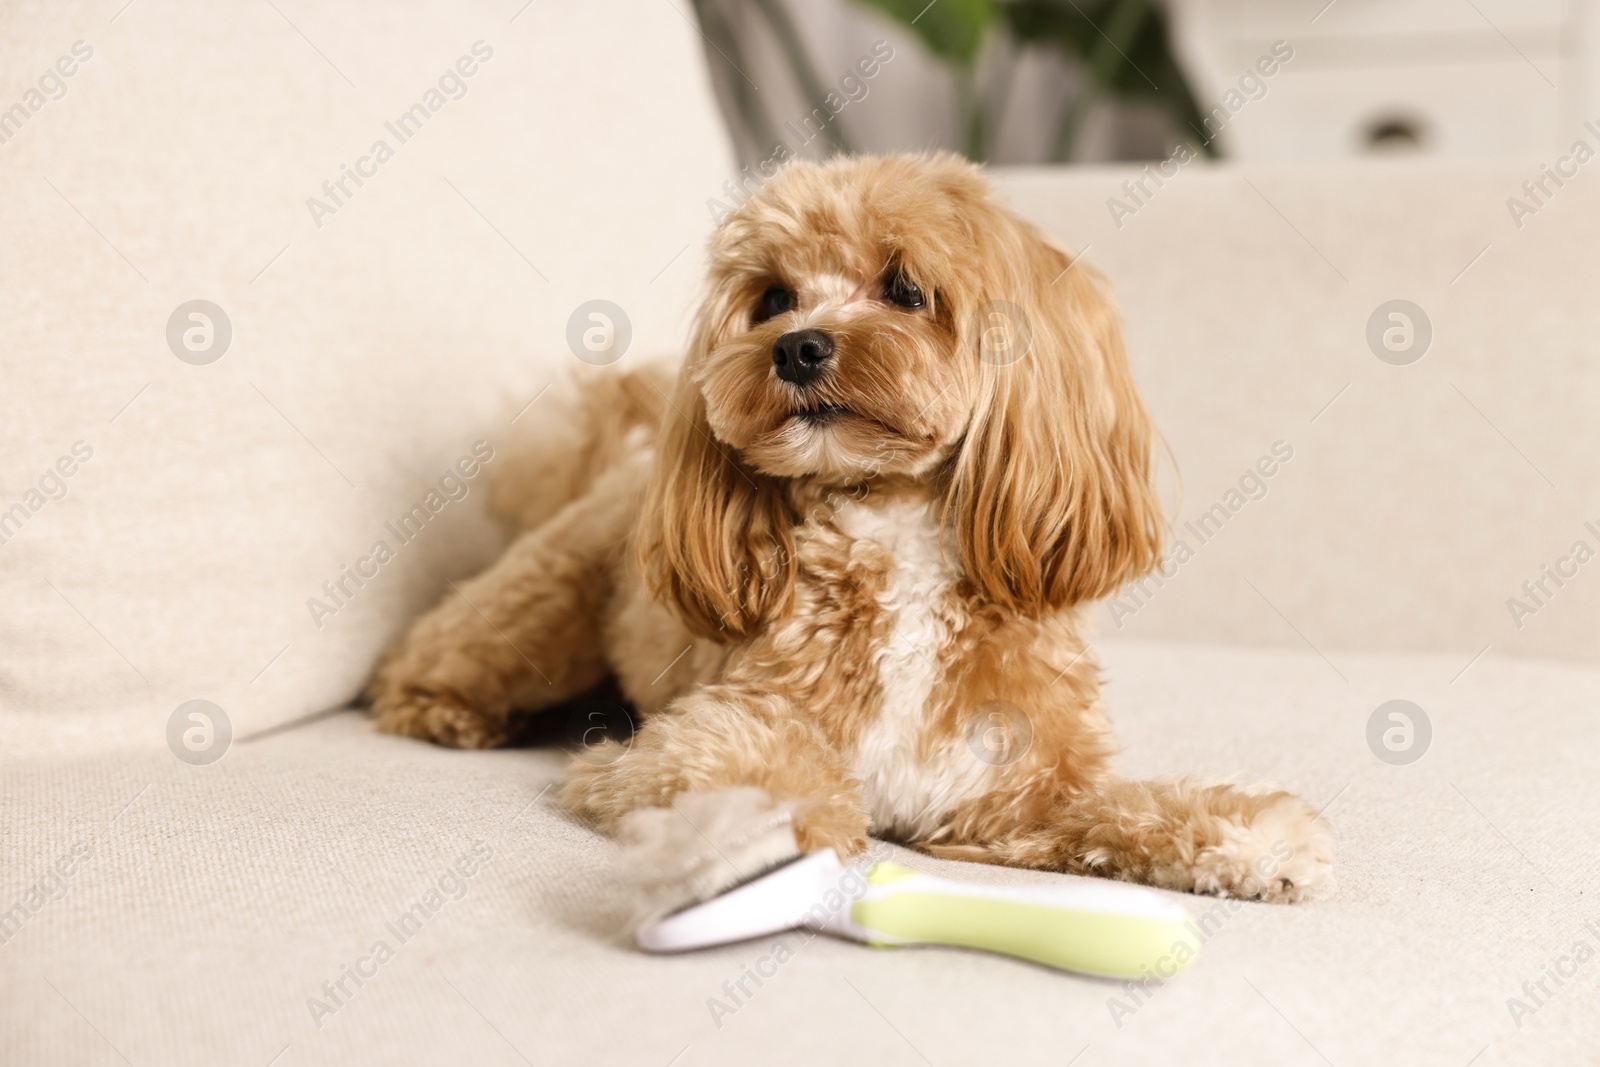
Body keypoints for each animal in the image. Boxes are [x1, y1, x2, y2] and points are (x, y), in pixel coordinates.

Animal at [368, 151, 1331, 921]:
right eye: (772, 298)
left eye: (906, 289)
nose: (797, 346)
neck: (894, 527)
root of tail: (626, 460)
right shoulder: (698, 735)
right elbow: (764, 766)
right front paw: (765, 841)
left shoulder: (1017, 793)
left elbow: (1126, 805)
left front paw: (1250, 837)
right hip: (535, 613)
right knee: (427, 656)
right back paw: (445, 711)